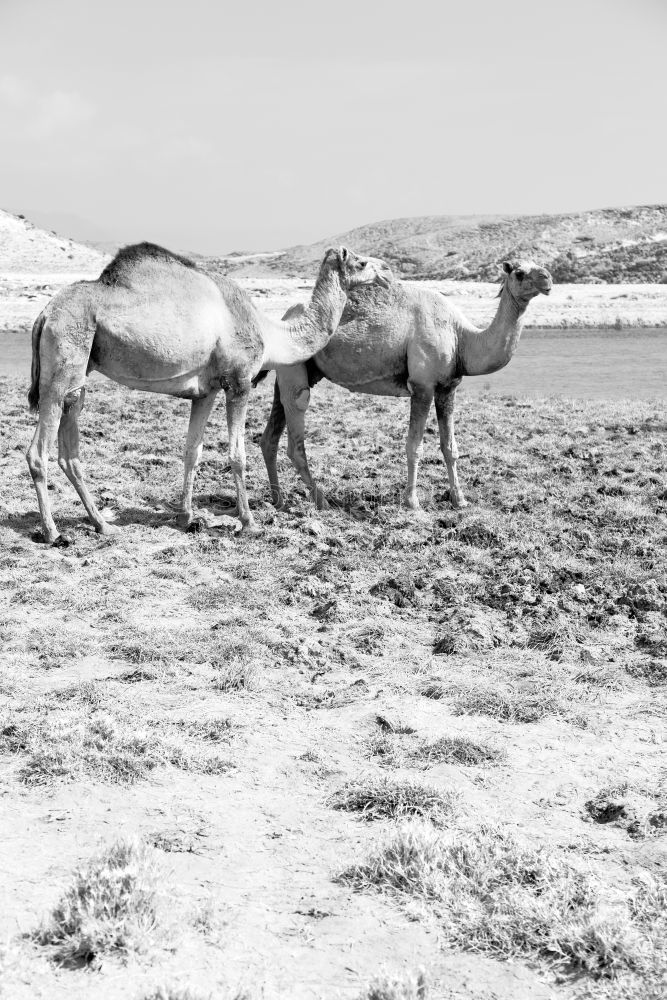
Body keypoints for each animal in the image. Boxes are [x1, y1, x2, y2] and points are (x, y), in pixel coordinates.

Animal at [26, 240, 392, 548]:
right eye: (361, 261)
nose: (388, 272)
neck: (270, 331)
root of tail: (43, 315)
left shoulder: (207, 391)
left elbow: (193, 450)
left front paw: (186, 517)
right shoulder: (239, 382)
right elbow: (237, 454)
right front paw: (248, 522)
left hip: (79, 373)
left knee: (69, 449)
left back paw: (102, 524)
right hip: (63, 361)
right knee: (38, 451)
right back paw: (53, 532)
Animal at [258, 260, 552, 508]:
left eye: (539, 265)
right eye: (519, 272)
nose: (547, 278)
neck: (461, 338)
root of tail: (282, 320)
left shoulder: (448, 387)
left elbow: (450, 447)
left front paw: (460, 500)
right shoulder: (422, 386)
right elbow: (414, 445)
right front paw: (413, 502)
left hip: (295, 371)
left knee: (269, 436)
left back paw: (278, 500)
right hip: (296, 373)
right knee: (296, 433)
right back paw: (322, 501)